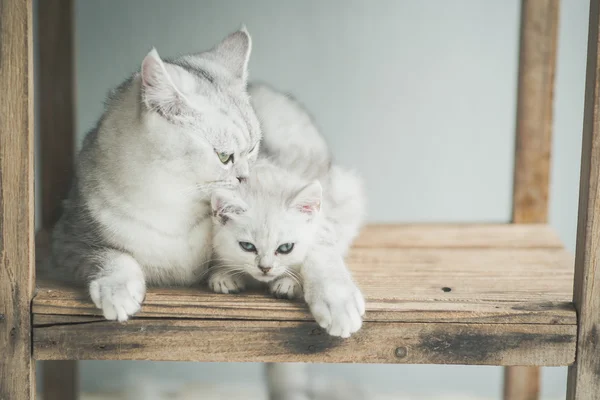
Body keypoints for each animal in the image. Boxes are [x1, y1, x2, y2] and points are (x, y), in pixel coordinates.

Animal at [45, 28, 262, 322]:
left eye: (253, 148)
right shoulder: (67, 241)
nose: (246, 178)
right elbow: (110, 256)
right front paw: (117, 291)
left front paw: (227, 274)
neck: (175, 208)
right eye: (224, 156)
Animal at [209, 83, 366, 338]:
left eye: (285, 248)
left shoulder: (326, 220)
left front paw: (336, 303)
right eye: (247, 247)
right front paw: (224, 274)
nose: (265, 268)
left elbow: (321, 256)